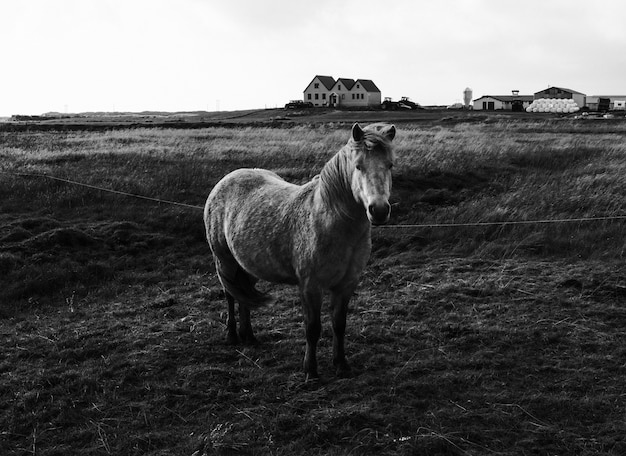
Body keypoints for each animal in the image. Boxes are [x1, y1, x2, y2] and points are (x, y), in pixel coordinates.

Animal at [202, 123, 392, 380]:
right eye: (358, 165)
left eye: (390, 165)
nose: (379, 210)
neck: (329, 220)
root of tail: (226, 180)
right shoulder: (310, 286)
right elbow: (312, 328)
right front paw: (310, 370)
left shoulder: (346, 284)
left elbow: (339, 324)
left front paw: (341, 364)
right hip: (225, 262)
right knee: (231, 295)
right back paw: (232, 335)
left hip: (249, 265)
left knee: (244, 296)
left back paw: (249, 336)